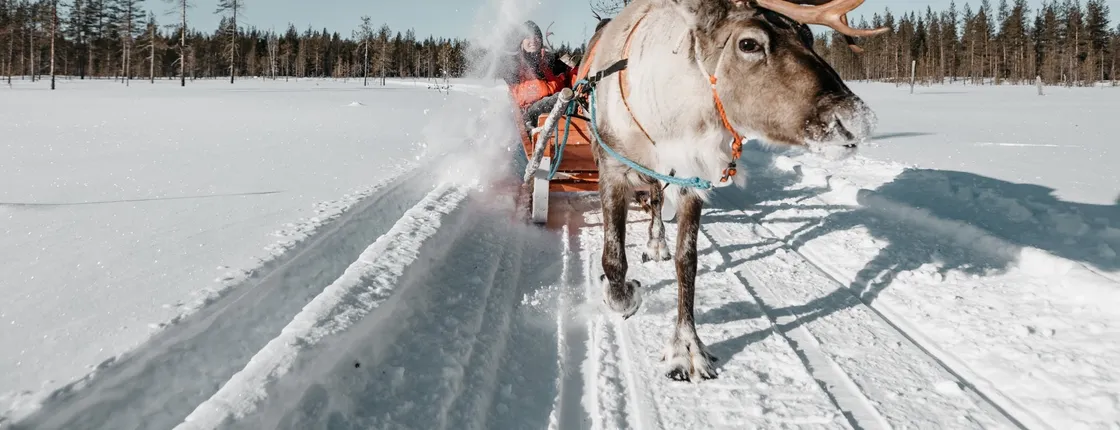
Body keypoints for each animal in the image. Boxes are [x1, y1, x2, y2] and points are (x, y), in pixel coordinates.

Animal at [575, 0, 887, 381]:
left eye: (809, 36)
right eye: (749, 43)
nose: (856, 120)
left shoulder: (691, 180)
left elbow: (687, 261)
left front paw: (688, 348)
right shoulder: (611, 168)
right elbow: (614, 258)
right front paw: (625, 296)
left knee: (657, 202)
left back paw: (657, 243)